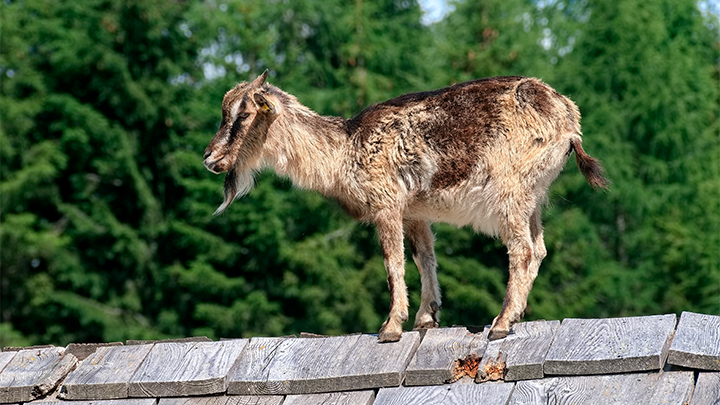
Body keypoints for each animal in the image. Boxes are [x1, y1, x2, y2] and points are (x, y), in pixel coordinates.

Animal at [202, 70, 608, 340]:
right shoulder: (415, 212)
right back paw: (516, 315)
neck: (344, 150)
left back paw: (502, 322)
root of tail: (568, 121)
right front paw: (427, 318)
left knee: (521, 249)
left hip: (511, 190)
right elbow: (424, 258)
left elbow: (392, 263)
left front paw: (390, 327)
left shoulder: (386, 203)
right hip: (533, 196)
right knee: (538, 249)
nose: (209, 158)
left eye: (242, 115)